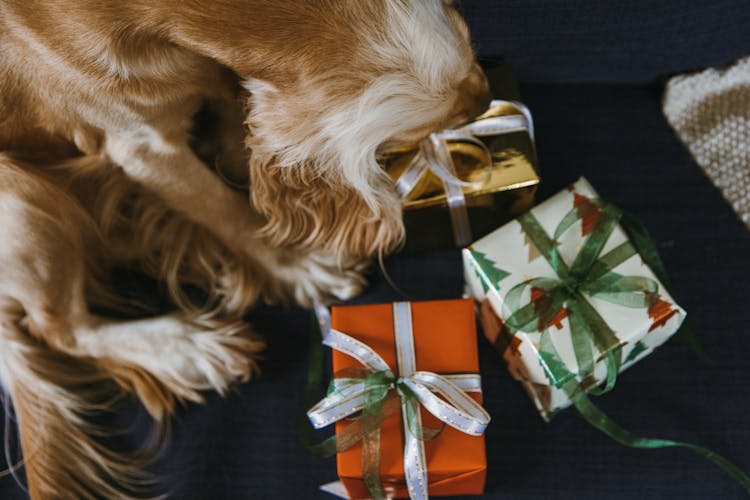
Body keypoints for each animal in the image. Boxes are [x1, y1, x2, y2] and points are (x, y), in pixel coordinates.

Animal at [0, 1, 488, 498]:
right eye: (422, 129)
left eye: (467, 34)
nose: (486, 98)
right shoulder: (142, 145)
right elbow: (225, 211)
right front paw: (300, 266)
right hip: (21, 194)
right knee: (60, 328)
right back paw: (187, 348)